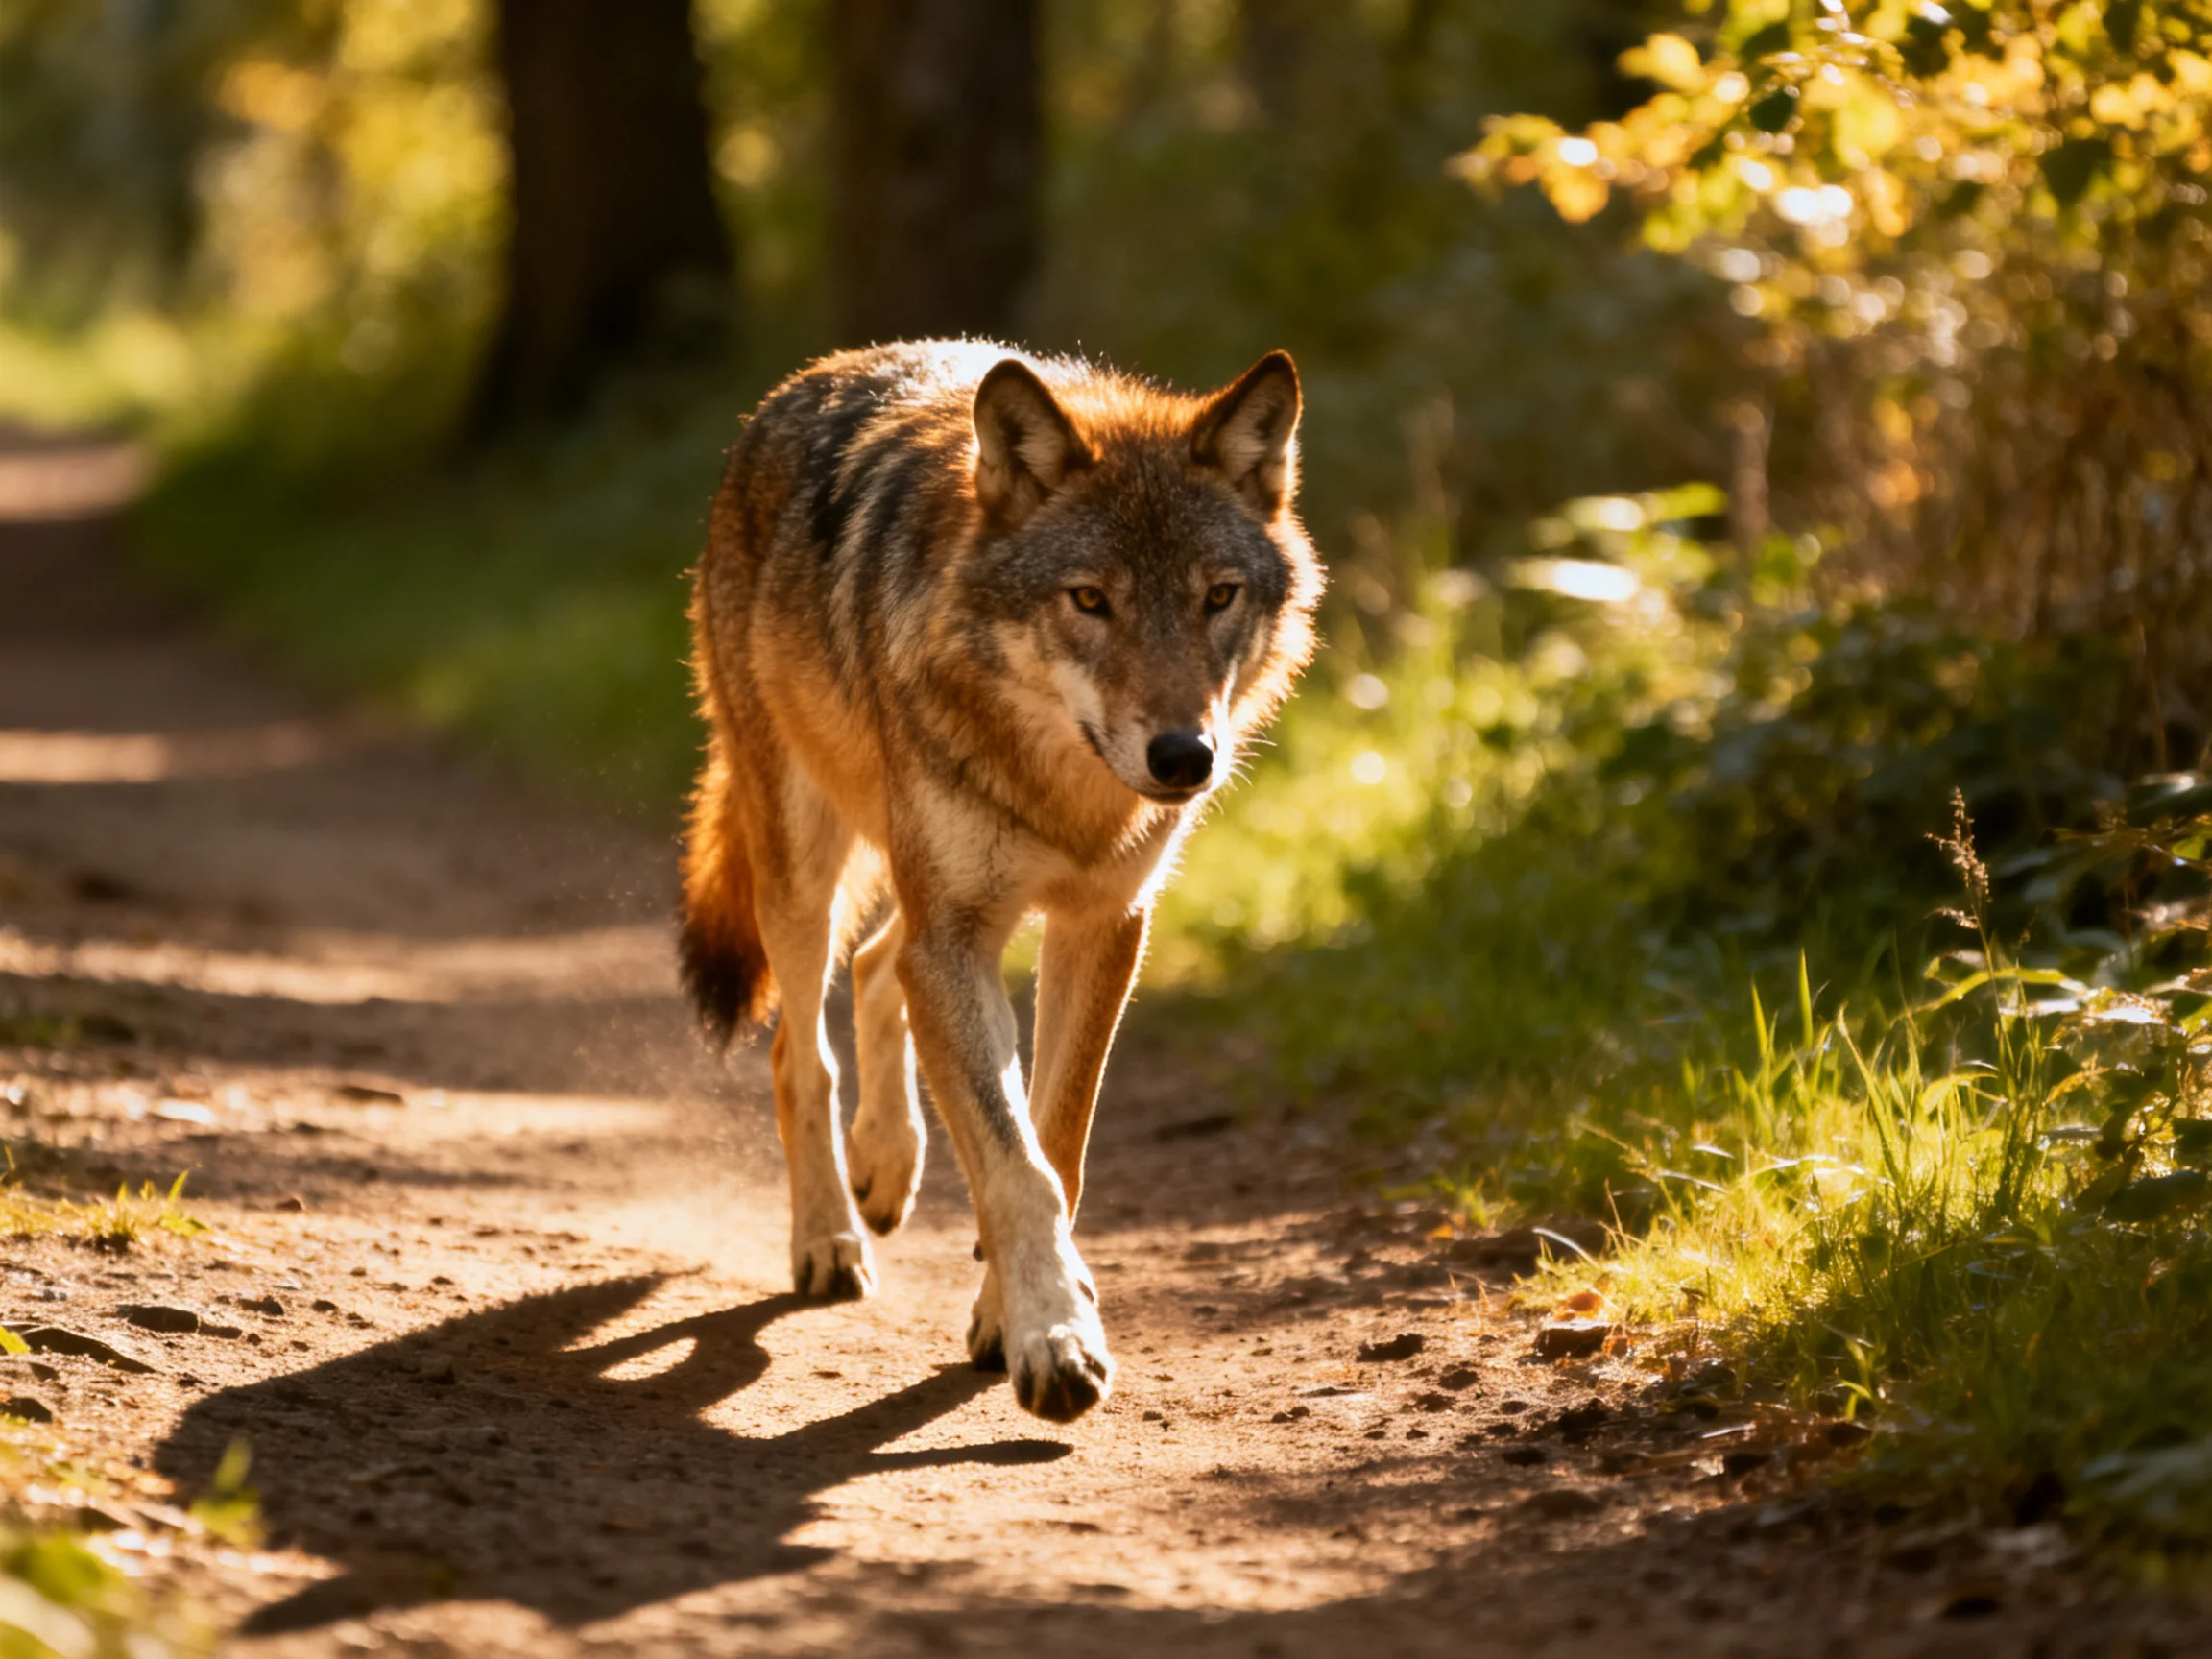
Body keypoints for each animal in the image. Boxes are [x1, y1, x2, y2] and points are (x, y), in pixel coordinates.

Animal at [679, 340, 1322, 1422]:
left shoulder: (1104, 924)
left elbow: (1051, 1145)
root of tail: (801, 383)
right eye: (1090, 599)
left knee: (879, 967)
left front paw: (1011, 1315)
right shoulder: (960, 934)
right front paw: (1053, 1342)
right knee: (801, 1050)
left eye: (1217, 595)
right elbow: (1015, 1166)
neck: (1066, 795)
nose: (1184, 756)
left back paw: (887, 1166)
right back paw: (830, 1238)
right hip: (806, 868)